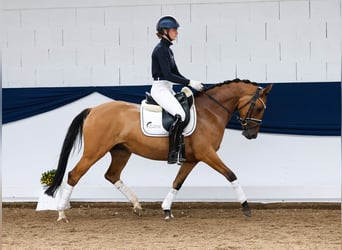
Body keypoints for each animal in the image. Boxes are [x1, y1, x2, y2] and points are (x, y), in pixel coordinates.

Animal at [46, 79, 272, 222]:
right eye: (260, 108)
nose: (251, 135)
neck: (210, 112)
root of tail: (93, 110)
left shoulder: (192, 159)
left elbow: (177, 182)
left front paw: (166, 210)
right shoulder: (207, 154)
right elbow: (231, 175)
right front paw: (246, 207)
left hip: (121, 151)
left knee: (112, 175)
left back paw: (137, 206)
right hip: (95, 151)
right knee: (74, 175)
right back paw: (61, 214)